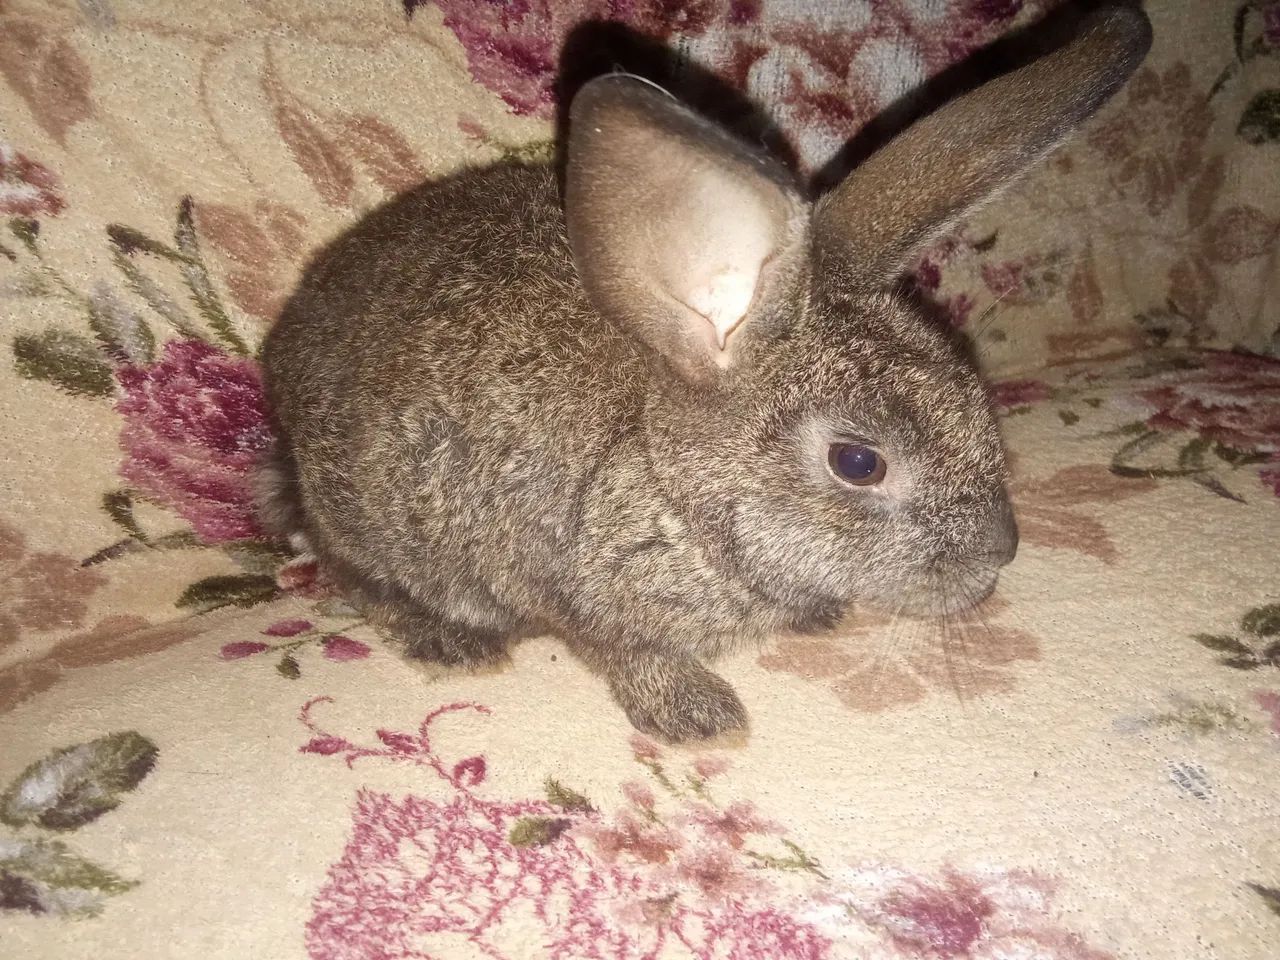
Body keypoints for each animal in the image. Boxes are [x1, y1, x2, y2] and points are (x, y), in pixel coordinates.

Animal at [260, 5, 1151, 742]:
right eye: (858, 462)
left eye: (973, 397)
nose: (1002, 552)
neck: (669, 482)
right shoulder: (573, 592)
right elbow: (627, 653)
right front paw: (702, 719)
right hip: (366, 518)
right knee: (349, 570)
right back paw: (451, 642)